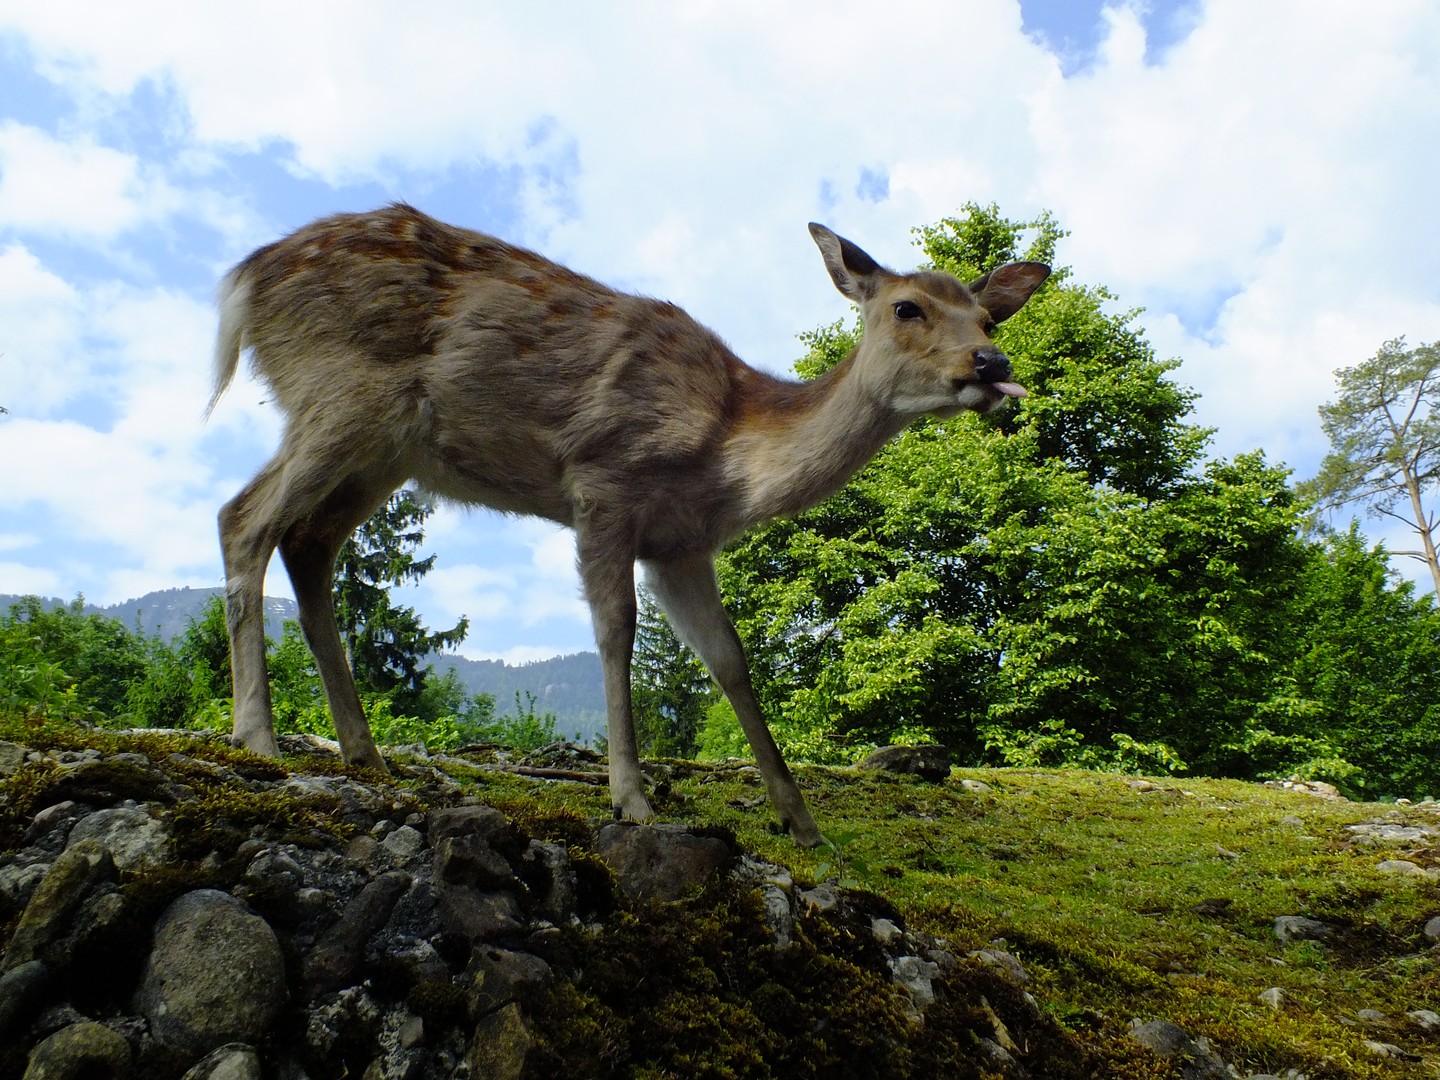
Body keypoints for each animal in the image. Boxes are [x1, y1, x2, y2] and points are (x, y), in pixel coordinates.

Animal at [208, 204, 1049, 847]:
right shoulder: (604, 481)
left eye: (986, 315)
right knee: (241, 518)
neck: (729, 457)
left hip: (386, 452)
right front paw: (632, 797)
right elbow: (616, 631)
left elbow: (728, 659)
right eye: (907, 307)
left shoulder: (682, 546)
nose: (990, 362)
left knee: (307, 543)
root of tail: (242, 280)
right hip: (339, 393)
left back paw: (364, 752)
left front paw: (802, 821)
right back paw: (257, 735)